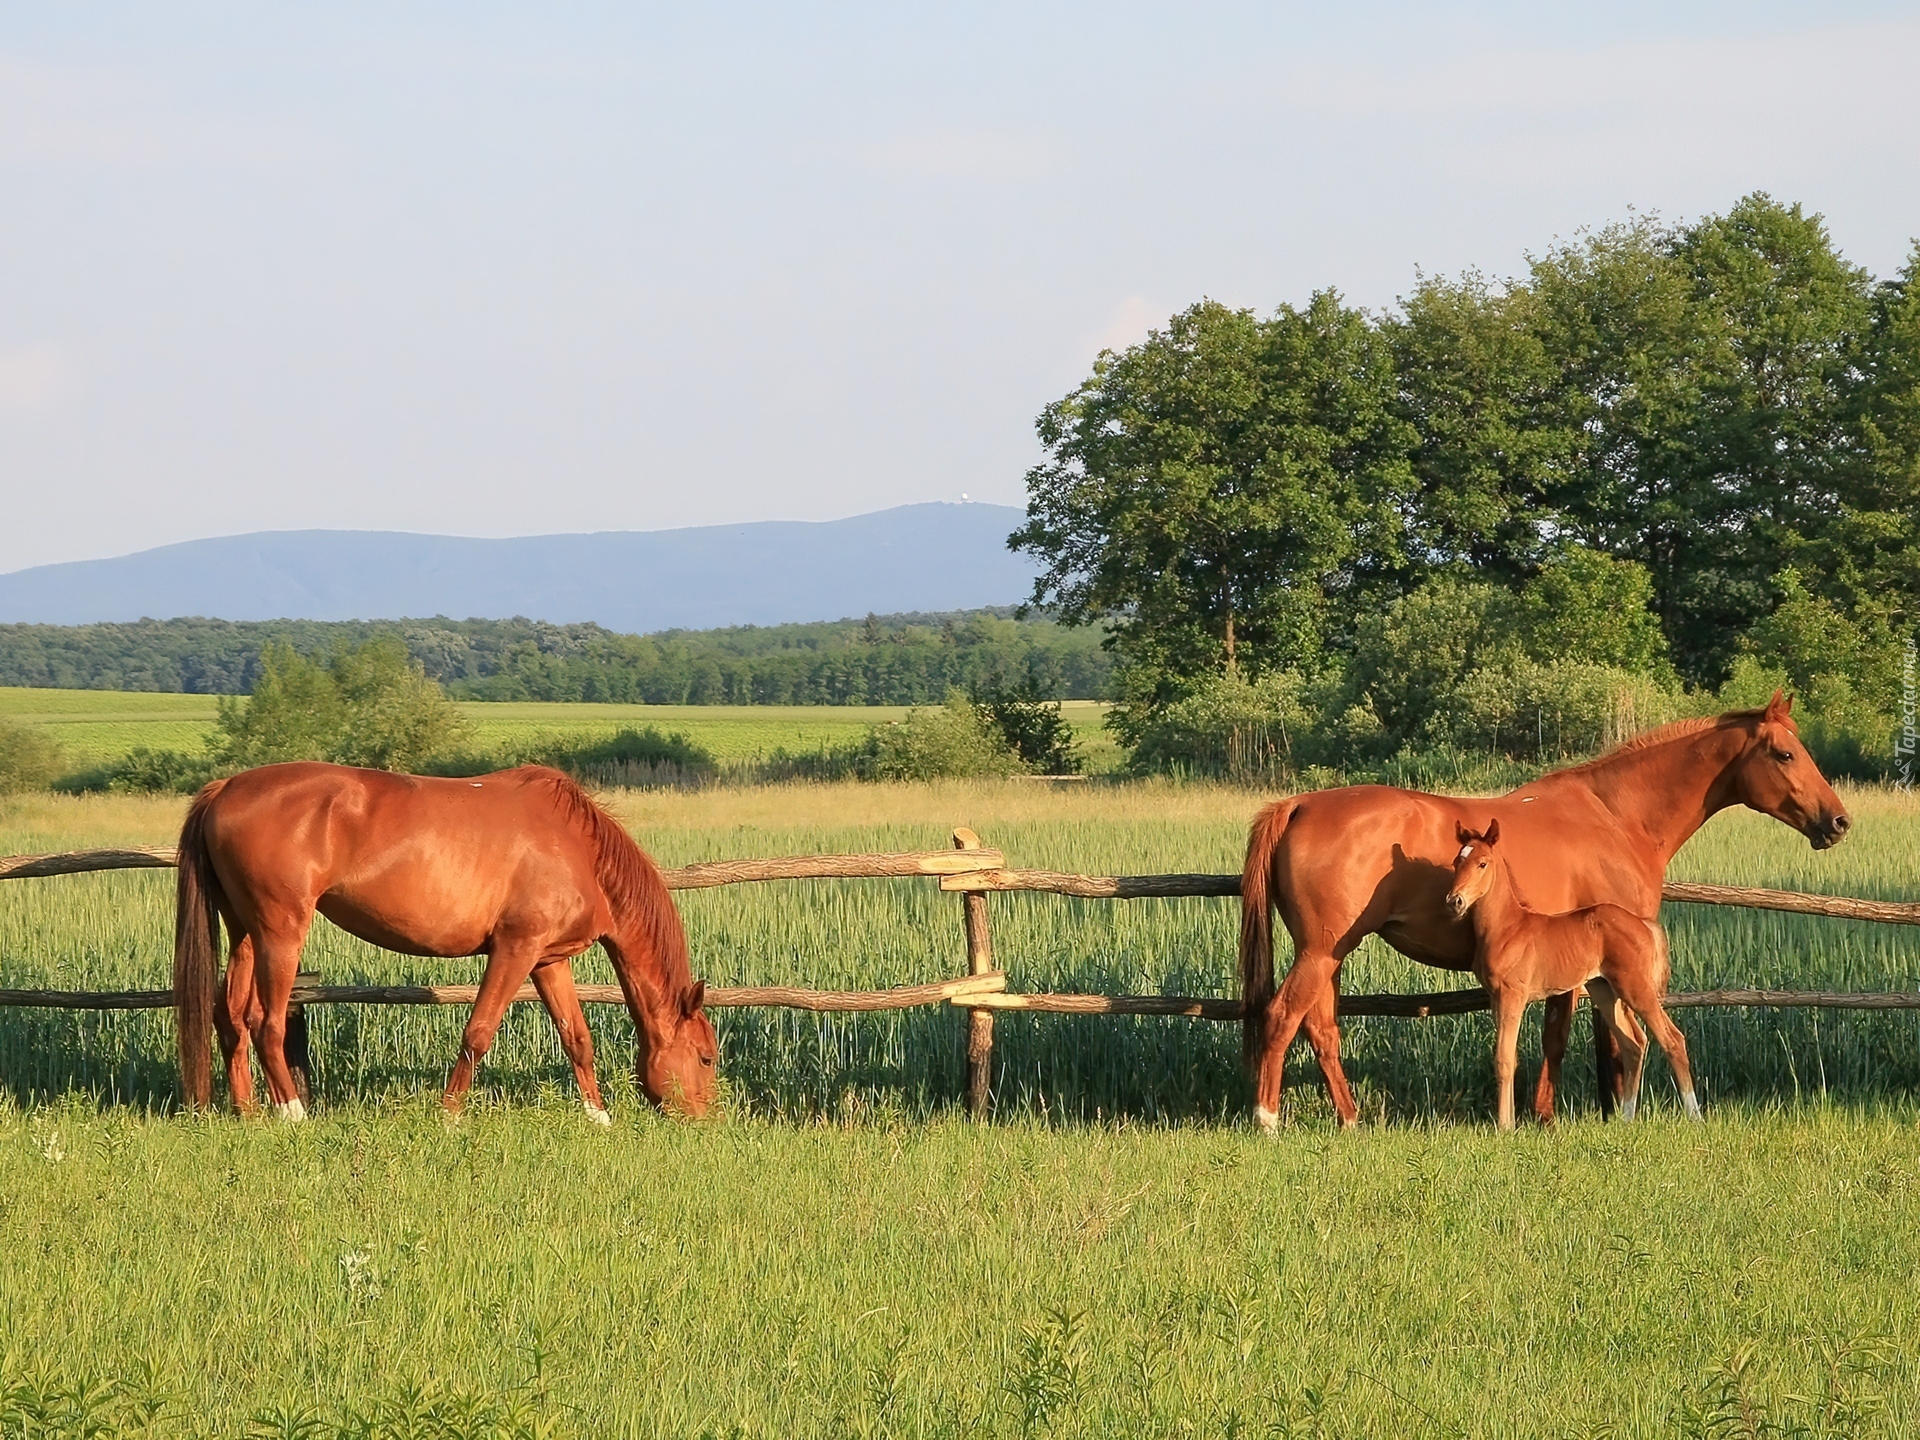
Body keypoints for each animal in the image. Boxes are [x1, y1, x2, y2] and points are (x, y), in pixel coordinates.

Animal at [176, 760, 718, 1121]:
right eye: (707, 1057)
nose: (706, 1120)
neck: (580, 849)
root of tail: (225, 788)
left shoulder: (548, 961)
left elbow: (576, 1038)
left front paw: (598, 1118)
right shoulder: (515, 950)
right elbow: (478, 1033)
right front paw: (450, 1116)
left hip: (245, 933)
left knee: (232, 1017)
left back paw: (248, 1113)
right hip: (281, 932)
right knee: (266, 1023)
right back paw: (292, 1114)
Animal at [1443, 817, 1704, 1136]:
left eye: (1482, 863)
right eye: (1457, 861)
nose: (1454, 901)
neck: (1507, 927)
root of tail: (1643, 924)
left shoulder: (1512, 996)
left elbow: (1503, 1058)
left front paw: (1505, 1127)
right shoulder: (1496, 999)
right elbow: (1509, 1057)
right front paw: (1510, 1121)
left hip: (1635, 987)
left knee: (1672, 1039)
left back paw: (1694, 1116)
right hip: (1605, 991)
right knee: (1633, 1044)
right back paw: (1626, 1119)